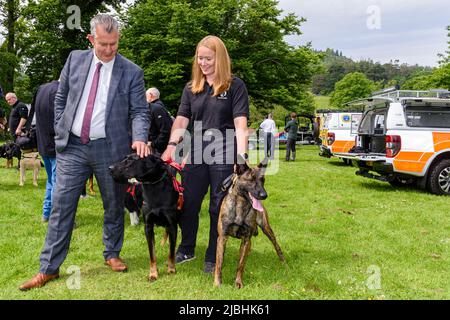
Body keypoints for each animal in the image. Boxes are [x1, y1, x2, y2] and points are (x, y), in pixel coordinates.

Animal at [108, 154, 179, 282]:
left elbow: (171, 251)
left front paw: (171, 269)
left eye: (131, 160)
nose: (110, 168)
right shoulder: (148, 226)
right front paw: (153, 274)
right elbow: (152, 254)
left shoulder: (172, 224)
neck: (154, 186)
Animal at [214, 158, 284, 288]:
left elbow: (240, 265)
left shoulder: (246, 239)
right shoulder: (222, 237)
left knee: (277, 246)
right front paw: (217, 283)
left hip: (267, 229)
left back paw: (284, 263)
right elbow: (219, 263)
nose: (264, 195)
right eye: (250, 180)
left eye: (263, 180)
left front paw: (238, 282)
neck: (240, 205)